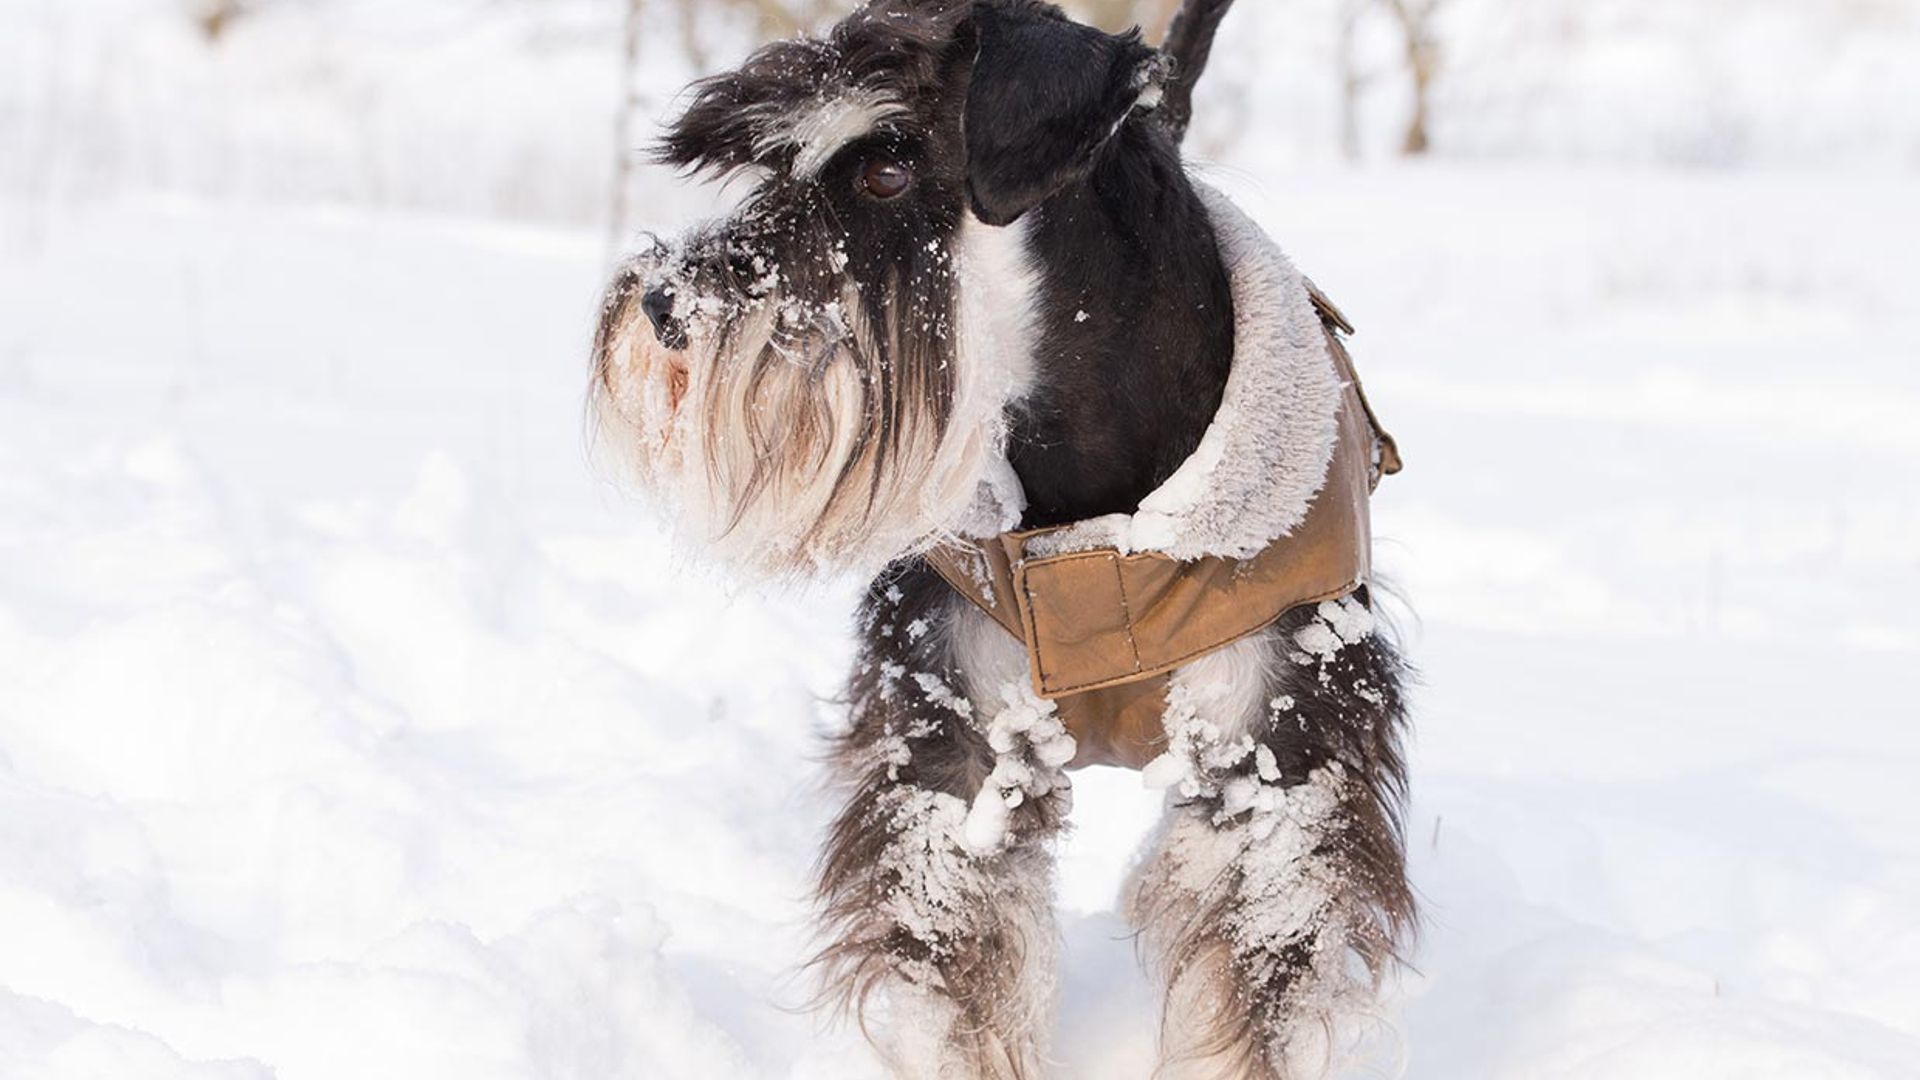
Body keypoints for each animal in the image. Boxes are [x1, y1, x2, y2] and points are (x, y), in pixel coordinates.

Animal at [583, 4, 1413, 1068]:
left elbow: (1249, 997)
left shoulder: (1274, 765)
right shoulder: (955, 746)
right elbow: (957, 980)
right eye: (771, 167)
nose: (662, 305)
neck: (1088, 488)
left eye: (886, 174)